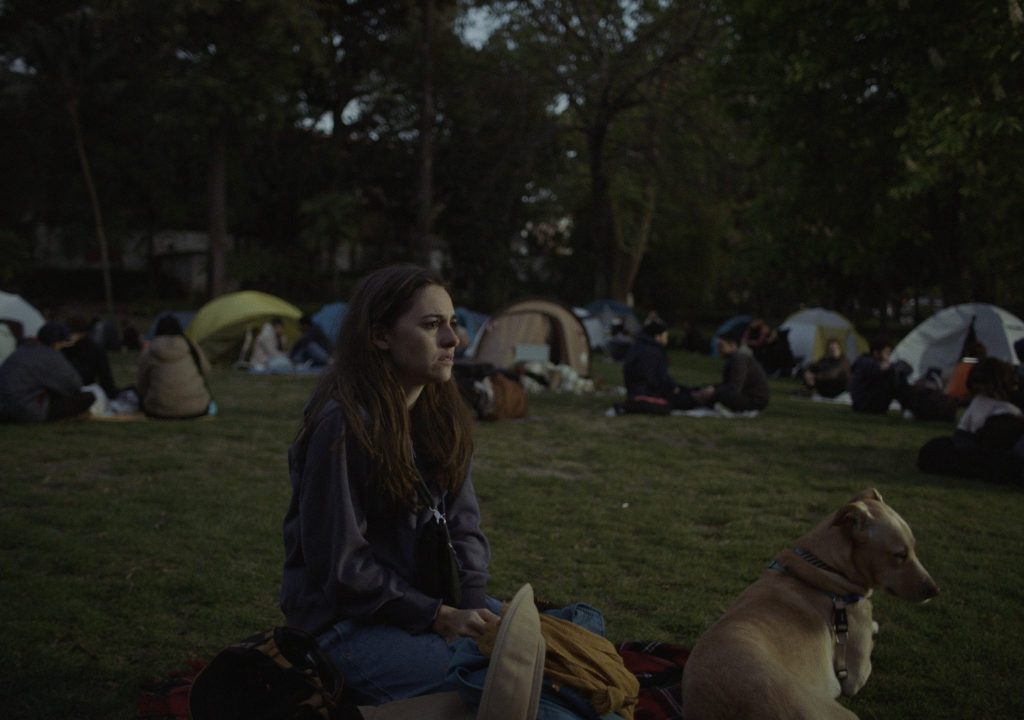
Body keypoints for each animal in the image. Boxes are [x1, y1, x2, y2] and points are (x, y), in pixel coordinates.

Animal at [684, 489, 937, 720]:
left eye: (913, 547)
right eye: (900, 555)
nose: (935, 590)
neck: (823, 569)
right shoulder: (855, 673)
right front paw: (875, 627)